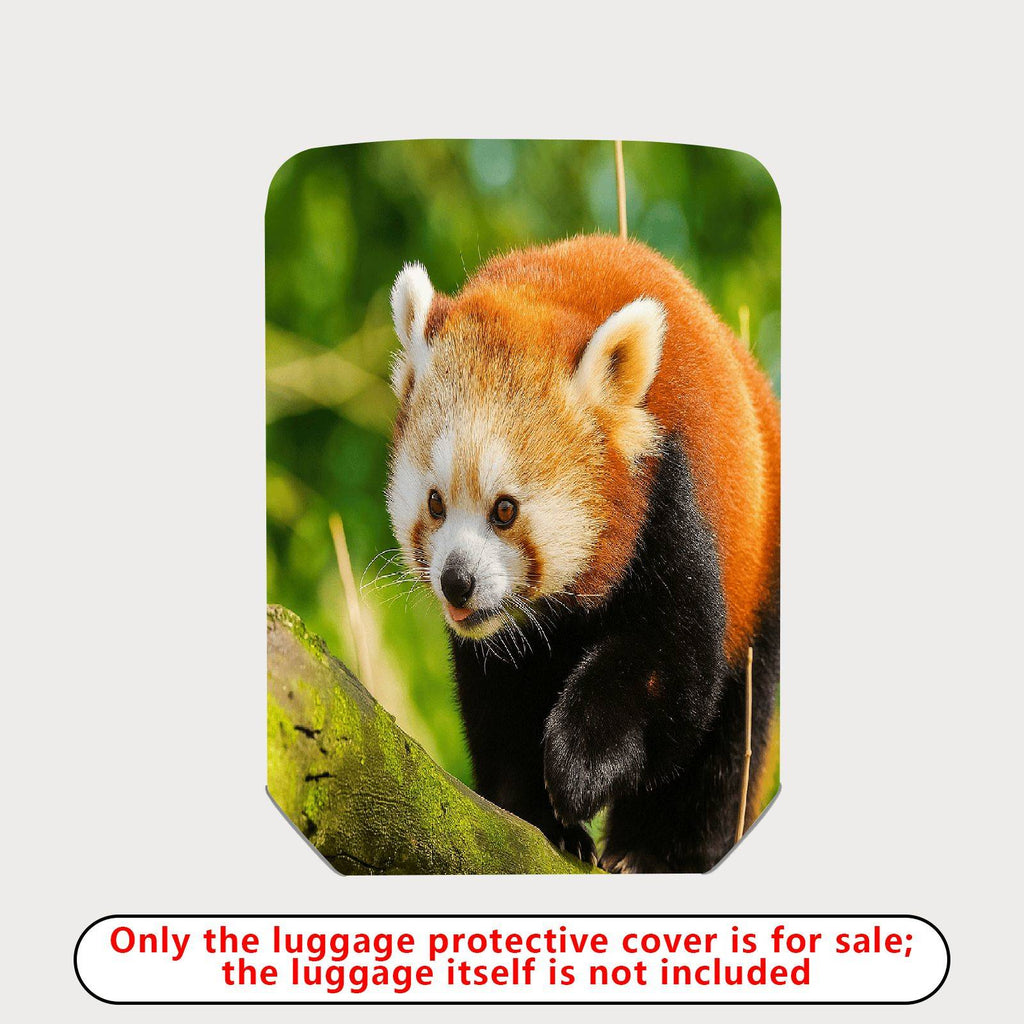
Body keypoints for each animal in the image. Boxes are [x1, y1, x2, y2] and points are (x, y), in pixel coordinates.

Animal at [385, 234, 780, 872]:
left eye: (505, 510)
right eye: (437, 503)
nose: (456, 582)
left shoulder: (673, 503)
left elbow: (671, 671)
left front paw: (577, 770)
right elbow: (499, 706)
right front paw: (540, 816)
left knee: (728, 742)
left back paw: (659, 852)